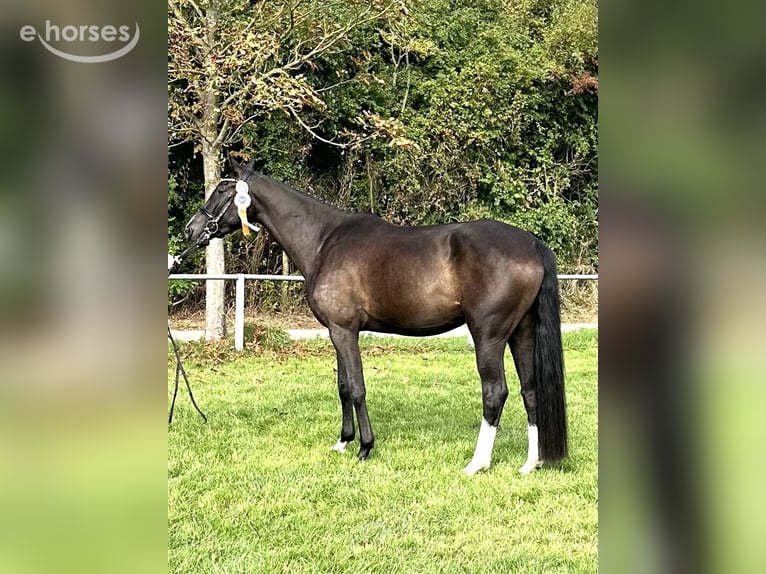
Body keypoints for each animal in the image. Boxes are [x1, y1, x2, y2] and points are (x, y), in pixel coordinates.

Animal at [182, 155, 567, 475]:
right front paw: (343, 441)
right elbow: (341, 387)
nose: (191, 229)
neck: (324, 241)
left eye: (222, 189)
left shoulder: (343, 330)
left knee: (495, 392)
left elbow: (356, 387)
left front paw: (365, 447)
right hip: (521, 332)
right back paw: (531, 463)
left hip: (489, 336)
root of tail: (531, 243)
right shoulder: (336, 331)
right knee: (530, 390)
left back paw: (477, 463)